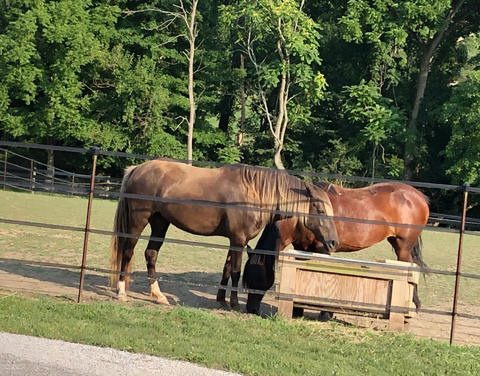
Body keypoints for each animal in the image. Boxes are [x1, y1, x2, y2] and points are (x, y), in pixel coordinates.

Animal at [110, 157, 340, 310]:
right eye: (320, 210)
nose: (333, 242)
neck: (254, 193)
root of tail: (137, 168)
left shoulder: (236, 240)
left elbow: (227, 269)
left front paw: (221, 300)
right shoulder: (238, 240)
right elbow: (236, 272)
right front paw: (235, 304)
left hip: (160, 223)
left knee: (151, 254)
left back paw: (158, 296)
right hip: (138, 222)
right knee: (127, 252)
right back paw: (121, 292)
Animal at [244, 182, 432, 314]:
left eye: (256, 278)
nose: (251, 309)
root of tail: (418, 195)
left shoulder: (323, 249)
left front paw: (325, 312)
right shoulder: (301, 248)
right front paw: (297, 309)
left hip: (403, 246)